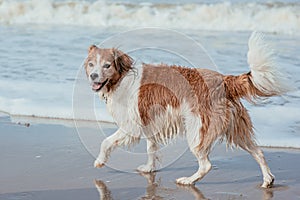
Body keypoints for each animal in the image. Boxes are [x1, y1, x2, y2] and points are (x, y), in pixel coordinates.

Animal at [84, 32, 288, 188]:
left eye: (107, 65)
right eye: (91, 64)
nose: (93, 76)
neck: (121, 78)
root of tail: (223, 80)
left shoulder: (131, 125)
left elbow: (106, 142)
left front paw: (100, 161)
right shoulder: (150, 121)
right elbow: (151, 148)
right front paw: (149, 169)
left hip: (197, 131)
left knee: (206, 165)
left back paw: (189, 181)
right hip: (236, 129)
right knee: (258, 152)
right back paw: (267, 180)